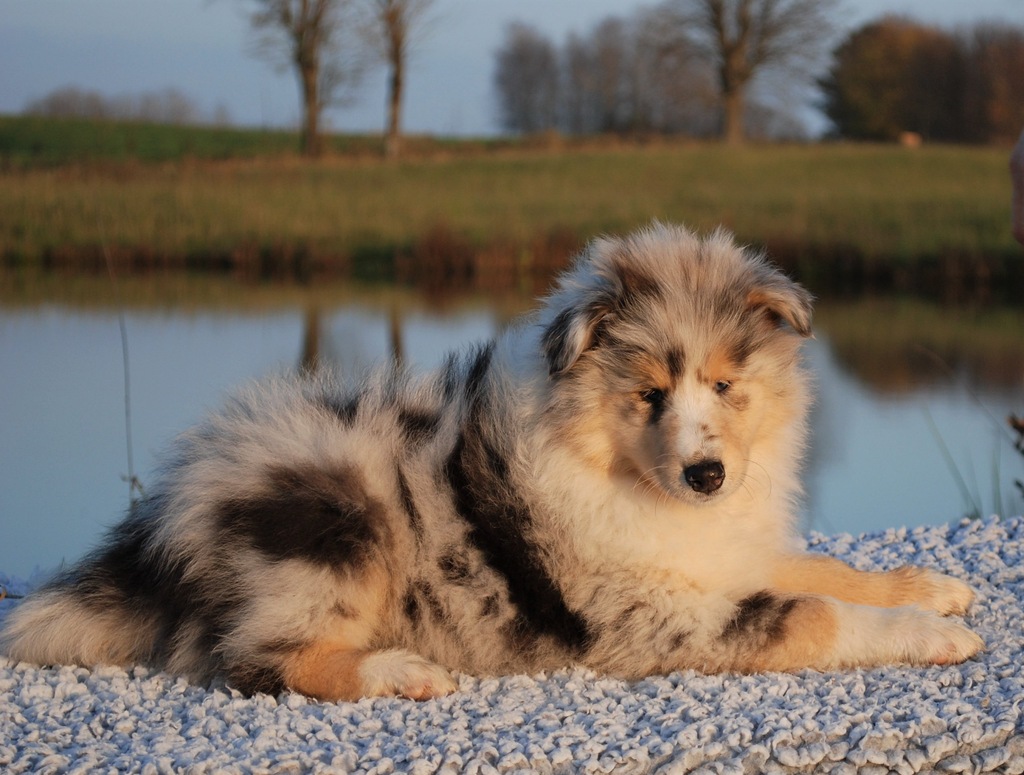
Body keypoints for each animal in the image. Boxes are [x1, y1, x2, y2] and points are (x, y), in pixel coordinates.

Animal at [4, 225, 978, 700]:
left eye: (727, 384)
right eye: (649, 394)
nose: (708, 476)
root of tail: (174, 508)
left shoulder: (724, 555)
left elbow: (821, 567)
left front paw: (929, 586)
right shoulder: (653, 620)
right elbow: (812, 611)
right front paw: (931, 634)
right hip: (341, 513)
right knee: (258, 659)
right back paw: (399, 673)